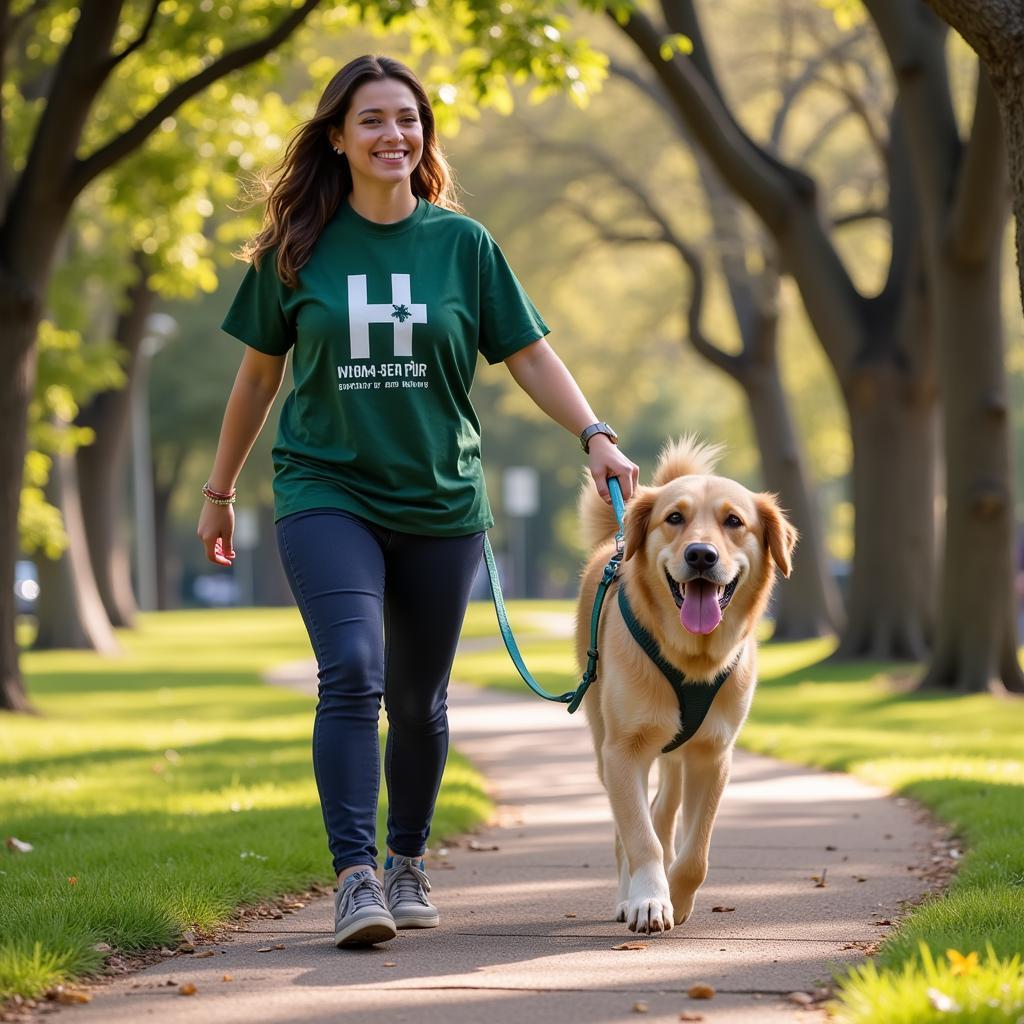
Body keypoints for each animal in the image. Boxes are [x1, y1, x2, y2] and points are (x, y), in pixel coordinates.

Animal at [573, 436, 794, 933]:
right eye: (674, 518)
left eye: (734, 521)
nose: (700, 555)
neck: (692, 658)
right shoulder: (623, 750)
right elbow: (640, 838)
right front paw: (649, 900)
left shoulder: (712, 754)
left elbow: (696, 854)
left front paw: (676, 893)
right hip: (602, 743)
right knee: (629, 830)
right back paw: (626, 895)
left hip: (675, 753)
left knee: (664, 809)